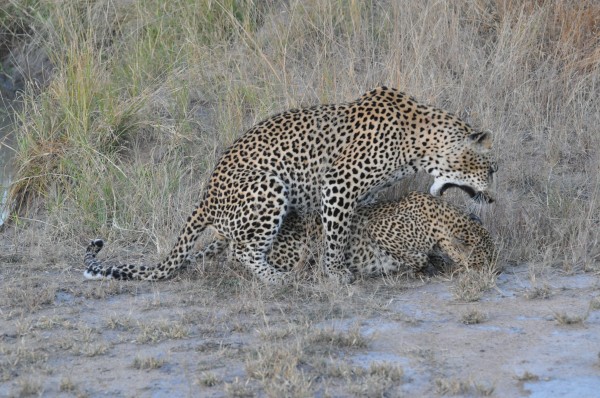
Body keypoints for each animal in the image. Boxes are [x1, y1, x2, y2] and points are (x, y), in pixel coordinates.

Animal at [84, 86, 496, 286]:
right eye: (491, 169)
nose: (492, 198)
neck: (420, 143)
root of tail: (205, 198)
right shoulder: (338, 184)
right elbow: (336, 234)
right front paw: (335, 272)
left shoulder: (362, 194)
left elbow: (352, 225)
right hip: (268, 187)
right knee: (242, 252)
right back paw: (278, 277)